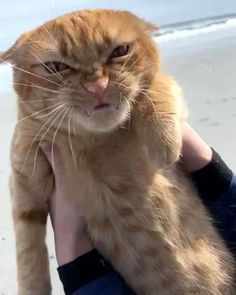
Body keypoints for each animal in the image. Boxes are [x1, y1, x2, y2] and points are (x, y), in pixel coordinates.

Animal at [0, 8, 235, 295]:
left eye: (119, 51)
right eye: (56, 67)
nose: (97, 86)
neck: (95, 140)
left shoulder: (161, 83)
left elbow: (156, 88)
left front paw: (164, 144)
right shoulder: (23, 182)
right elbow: (28, 252)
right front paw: (33, 287)